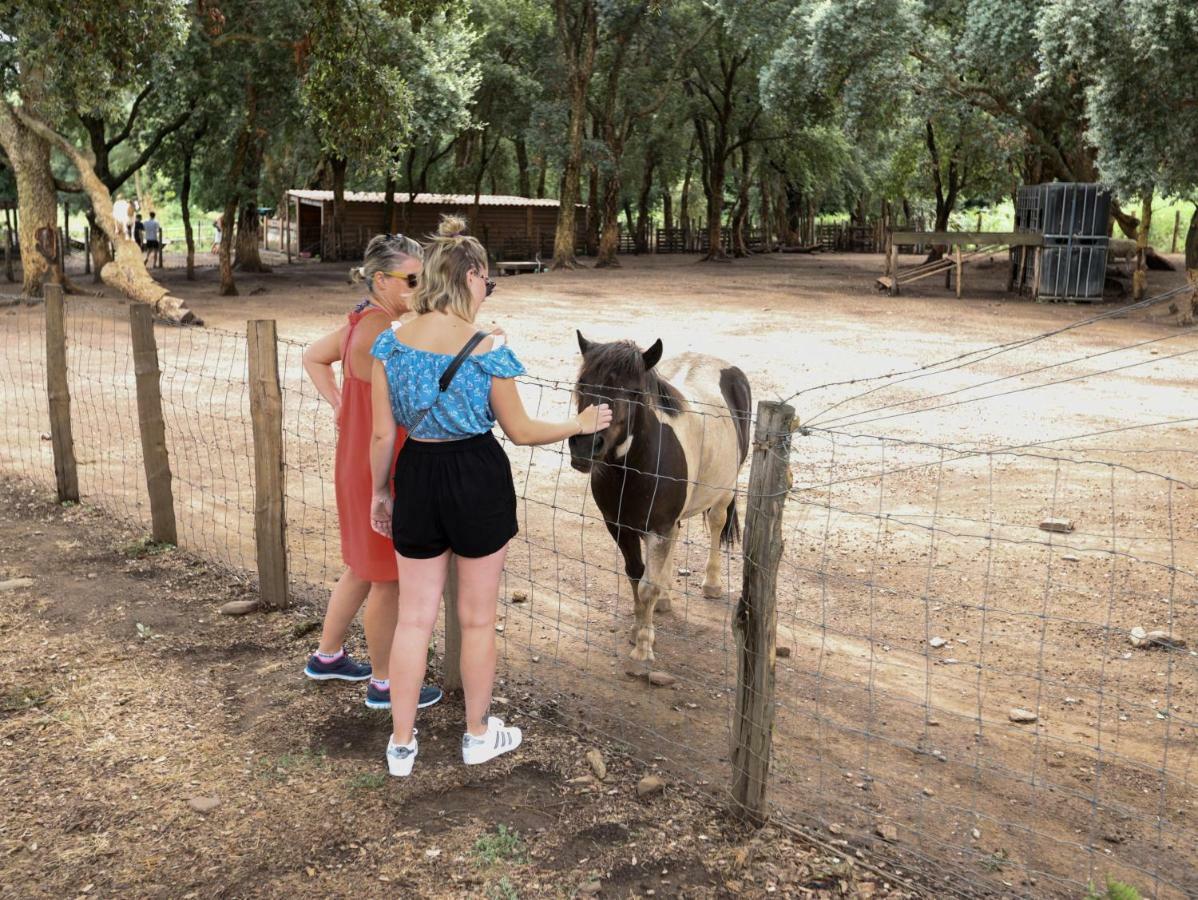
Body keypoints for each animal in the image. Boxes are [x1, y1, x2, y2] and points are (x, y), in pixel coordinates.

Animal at [567, 330, 747, 661]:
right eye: (583, 383)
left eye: (634, 392)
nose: (585, 446)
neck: (634, 468)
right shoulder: (620, 527)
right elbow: (636, 576)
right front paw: (640, 627)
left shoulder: (658, 528)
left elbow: (647, 586)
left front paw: (642, 647)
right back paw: (665, 599)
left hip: (725, 489)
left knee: (717, 522)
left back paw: (711, 583)